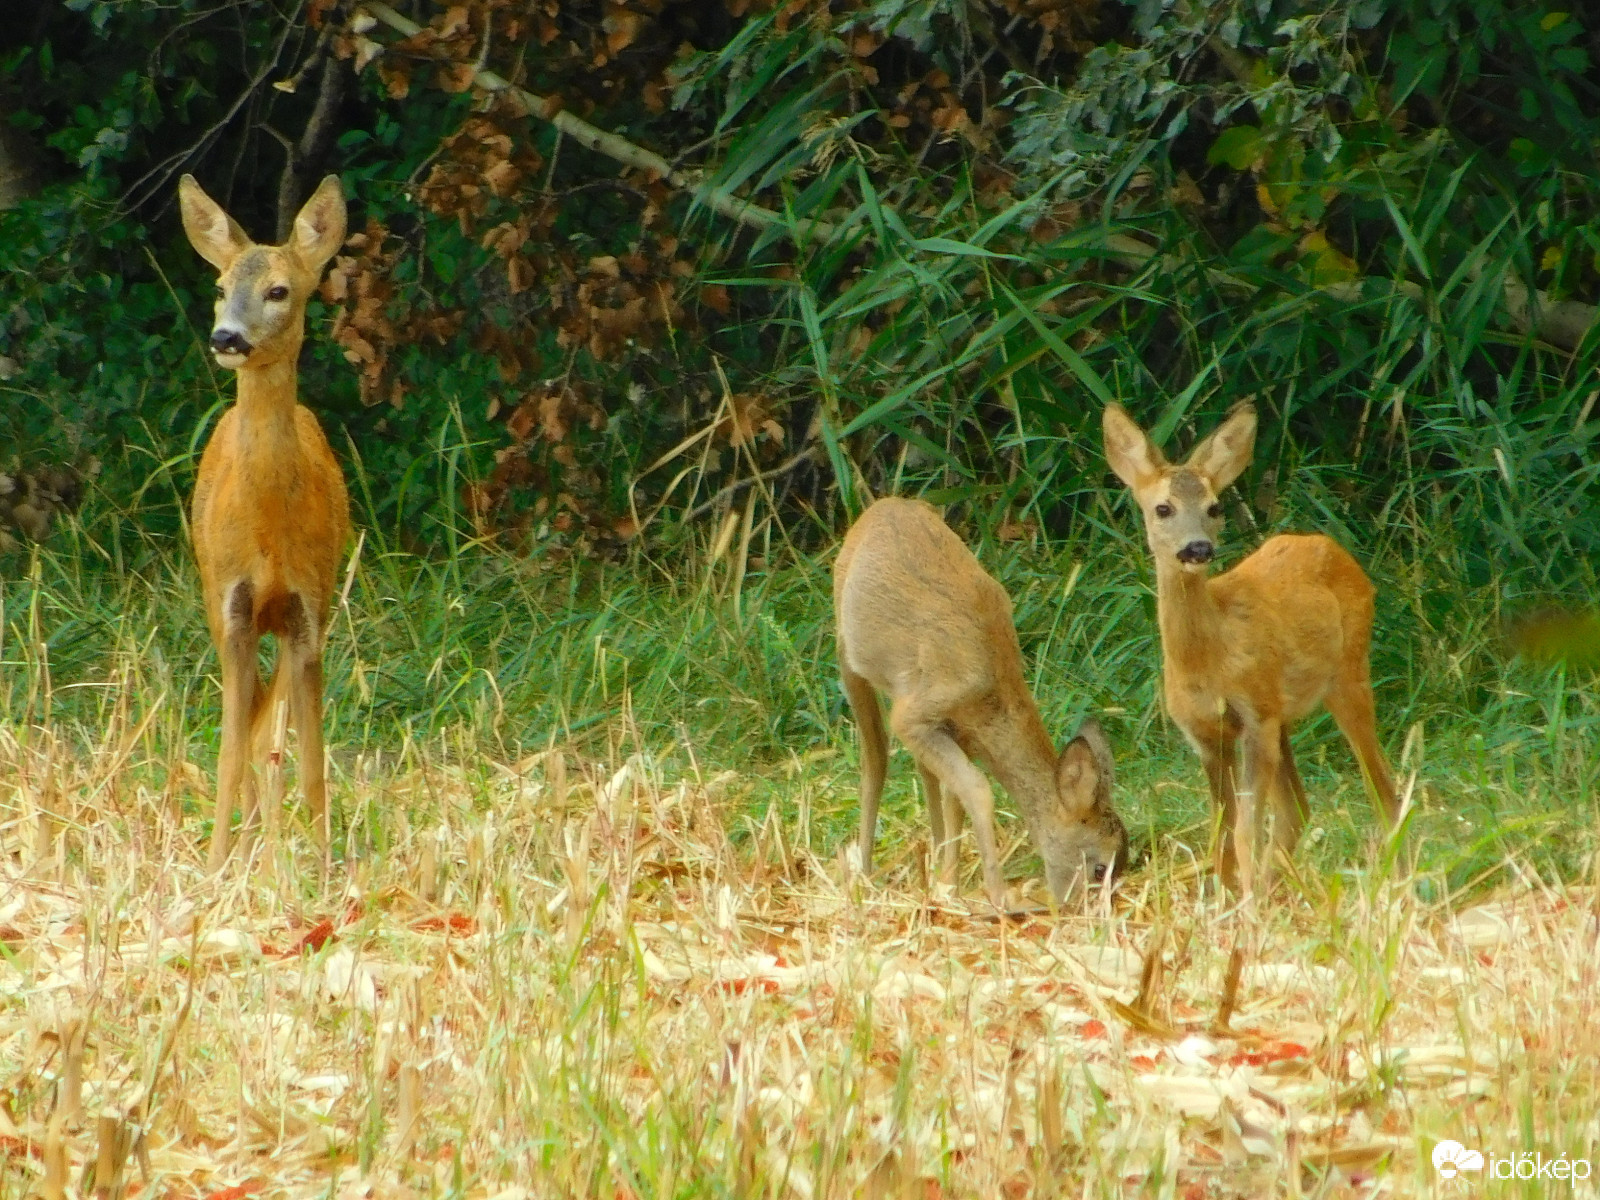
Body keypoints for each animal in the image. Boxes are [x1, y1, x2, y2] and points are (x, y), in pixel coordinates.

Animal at [832, 492, 1132, 908]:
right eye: (1100, 868)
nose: (1091, 913)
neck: (991, 692)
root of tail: (883, 505)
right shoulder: (915, 713)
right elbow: (977, 789)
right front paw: (999, 894)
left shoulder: (955, 729)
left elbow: (955, 797)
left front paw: (949, 886)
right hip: (848, 652)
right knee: (874, 757)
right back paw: (862, 872)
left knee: (923, 772)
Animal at [1100, 404, 1401, 896]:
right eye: (1163, 508)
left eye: (1214, 507)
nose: (1198, 547)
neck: (1206, 662)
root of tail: (1336, 549)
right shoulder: (1206, 734)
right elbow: (1221, 829)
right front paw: (1229, 898)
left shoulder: (1254, 715)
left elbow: (1243, 828)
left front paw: (1245, 902)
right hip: (1283, 715)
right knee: (1298, 807)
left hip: (1348, 673)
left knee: (1383, 789)